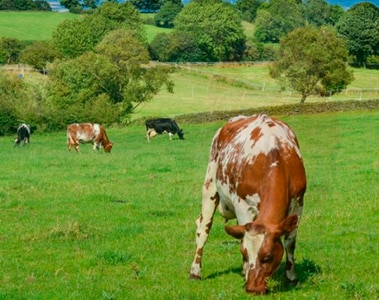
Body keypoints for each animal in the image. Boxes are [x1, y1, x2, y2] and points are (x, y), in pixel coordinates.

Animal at [189, 113, 308, 294]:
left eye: (268, 256)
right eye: (244, 253)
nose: (252, 288)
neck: (275, 153)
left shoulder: (298, 204)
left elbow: (290, 242)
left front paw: (291, 277)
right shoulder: (242, 206)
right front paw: (245, 271)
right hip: (210, 184)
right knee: (203, 228)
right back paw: (195, 271)